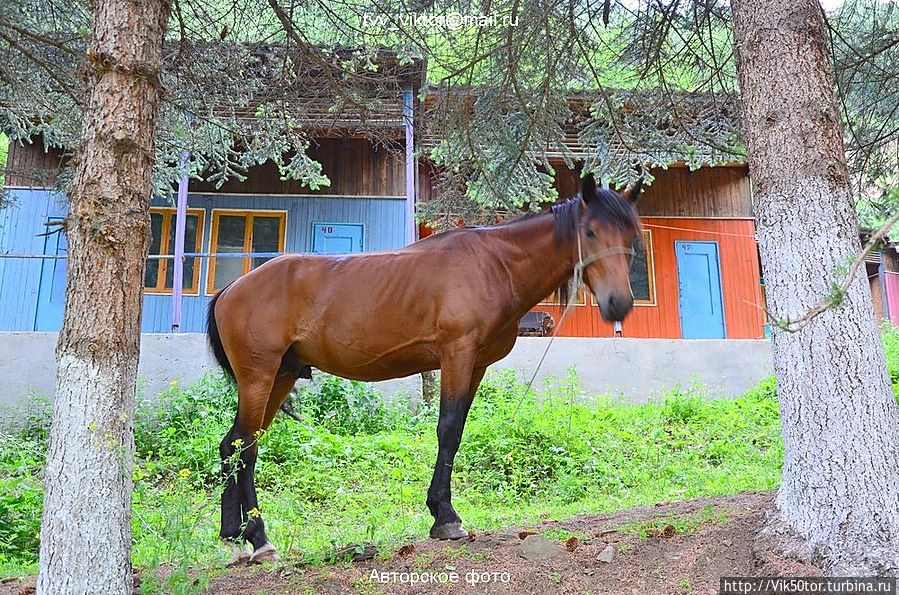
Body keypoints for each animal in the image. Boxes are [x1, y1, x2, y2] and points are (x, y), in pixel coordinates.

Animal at [206, 175, 640, 564]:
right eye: (590, 231)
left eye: (631, 236)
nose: (618, 303)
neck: (494, 264)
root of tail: (231, 290)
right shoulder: (456, 354)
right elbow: (447, 430)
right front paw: (445, 518)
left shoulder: (476, 366)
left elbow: (457, 430)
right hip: (260, 377)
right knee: (244, 447)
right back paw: (259, 538)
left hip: (280, 377)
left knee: (235, 445)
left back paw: (234, 536)